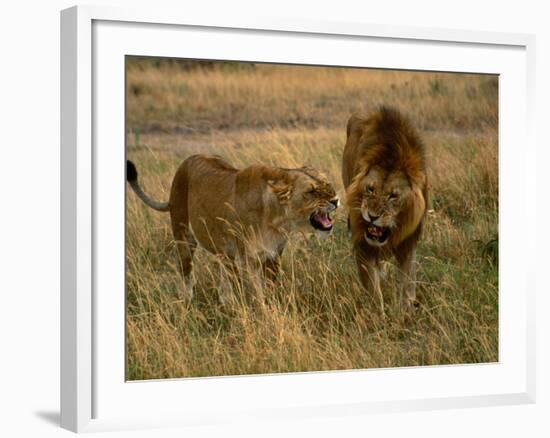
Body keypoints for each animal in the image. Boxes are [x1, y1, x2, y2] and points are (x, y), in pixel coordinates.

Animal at [127, 155, 338, 304]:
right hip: (183, 236)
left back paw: (226, 302)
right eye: (311, 191)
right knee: (186, 272)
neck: (277, 219)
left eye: (328, 184)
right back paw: (188, 301)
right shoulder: (248, 259)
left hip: (225, 251)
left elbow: (269, 288)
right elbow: (257, 294)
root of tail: (187, 160)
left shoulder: (274, 255)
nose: (336, 200)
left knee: (225, 274)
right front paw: (263, 316)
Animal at [342, 105, 430, 314]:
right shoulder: (362, 242)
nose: (372, 217)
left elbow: (407, 281)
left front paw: (406, 313)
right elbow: (374, 290)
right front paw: (378, 317)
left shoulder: (408, 241)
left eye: (393, 196)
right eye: (370, 189)